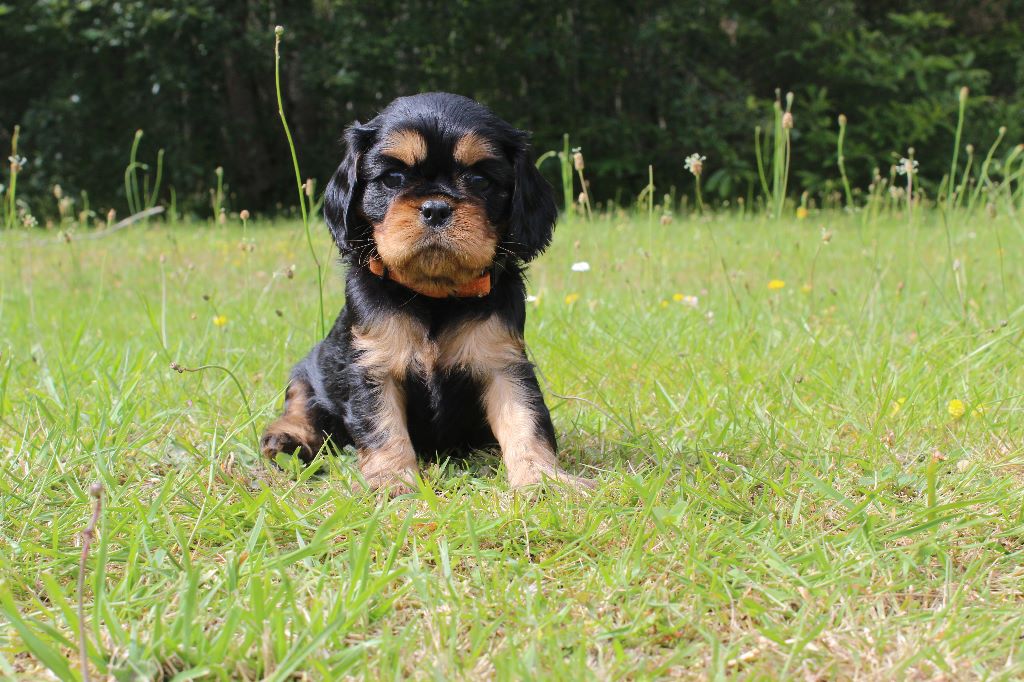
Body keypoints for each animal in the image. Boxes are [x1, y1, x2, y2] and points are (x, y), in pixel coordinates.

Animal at [260, 93, 598, 491]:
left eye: (480, 180)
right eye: (393, 178)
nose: (436, 207)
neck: (432, 294)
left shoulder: (504, 362)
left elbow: (525, 420)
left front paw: (542, 478)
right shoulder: (373, 366)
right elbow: (383, 426)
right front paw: (392, 482)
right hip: (309, 367)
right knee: (301, 403)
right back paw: (285, 438)